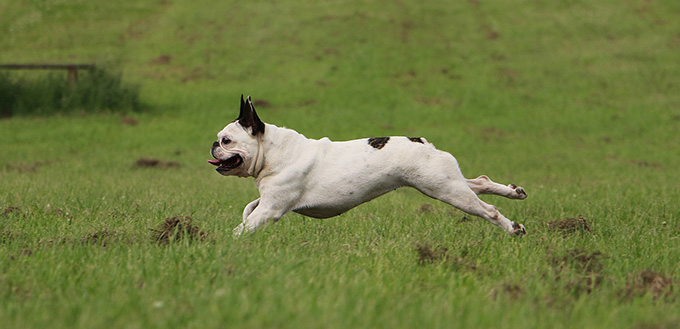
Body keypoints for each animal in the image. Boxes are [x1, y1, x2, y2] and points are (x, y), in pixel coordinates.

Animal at [210, 95, 528, 236]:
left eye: (226, 140)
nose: (213, 145)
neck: (273, 151)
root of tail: (421, 142)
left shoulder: (271, 209)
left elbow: (244, 226)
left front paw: (228, 243)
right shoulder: (268, 202)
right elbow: (249, 208)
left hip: (444, 188)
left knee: (486, 209)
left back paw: (512, 227)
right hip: (444, 180)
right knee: (479, 182)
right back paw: (512, 191)